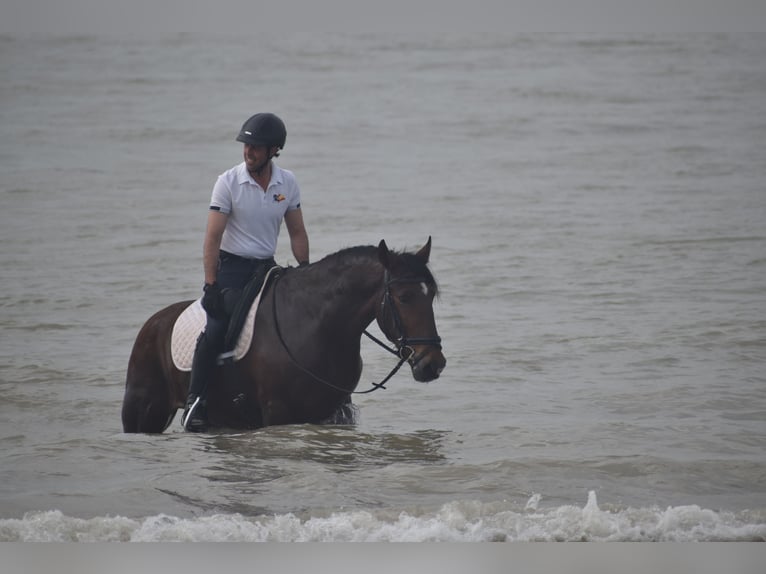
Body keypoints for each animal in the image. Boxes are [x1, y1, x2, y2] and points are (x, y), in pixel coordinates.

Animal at [119, 236, 444, 434]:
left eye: (431, 296)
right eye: (403, 297)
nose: (433, 364)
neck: (319, 328)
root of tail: (154, 323)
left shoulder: (333, 414)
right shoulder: (278, 412)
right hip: (144, 411)